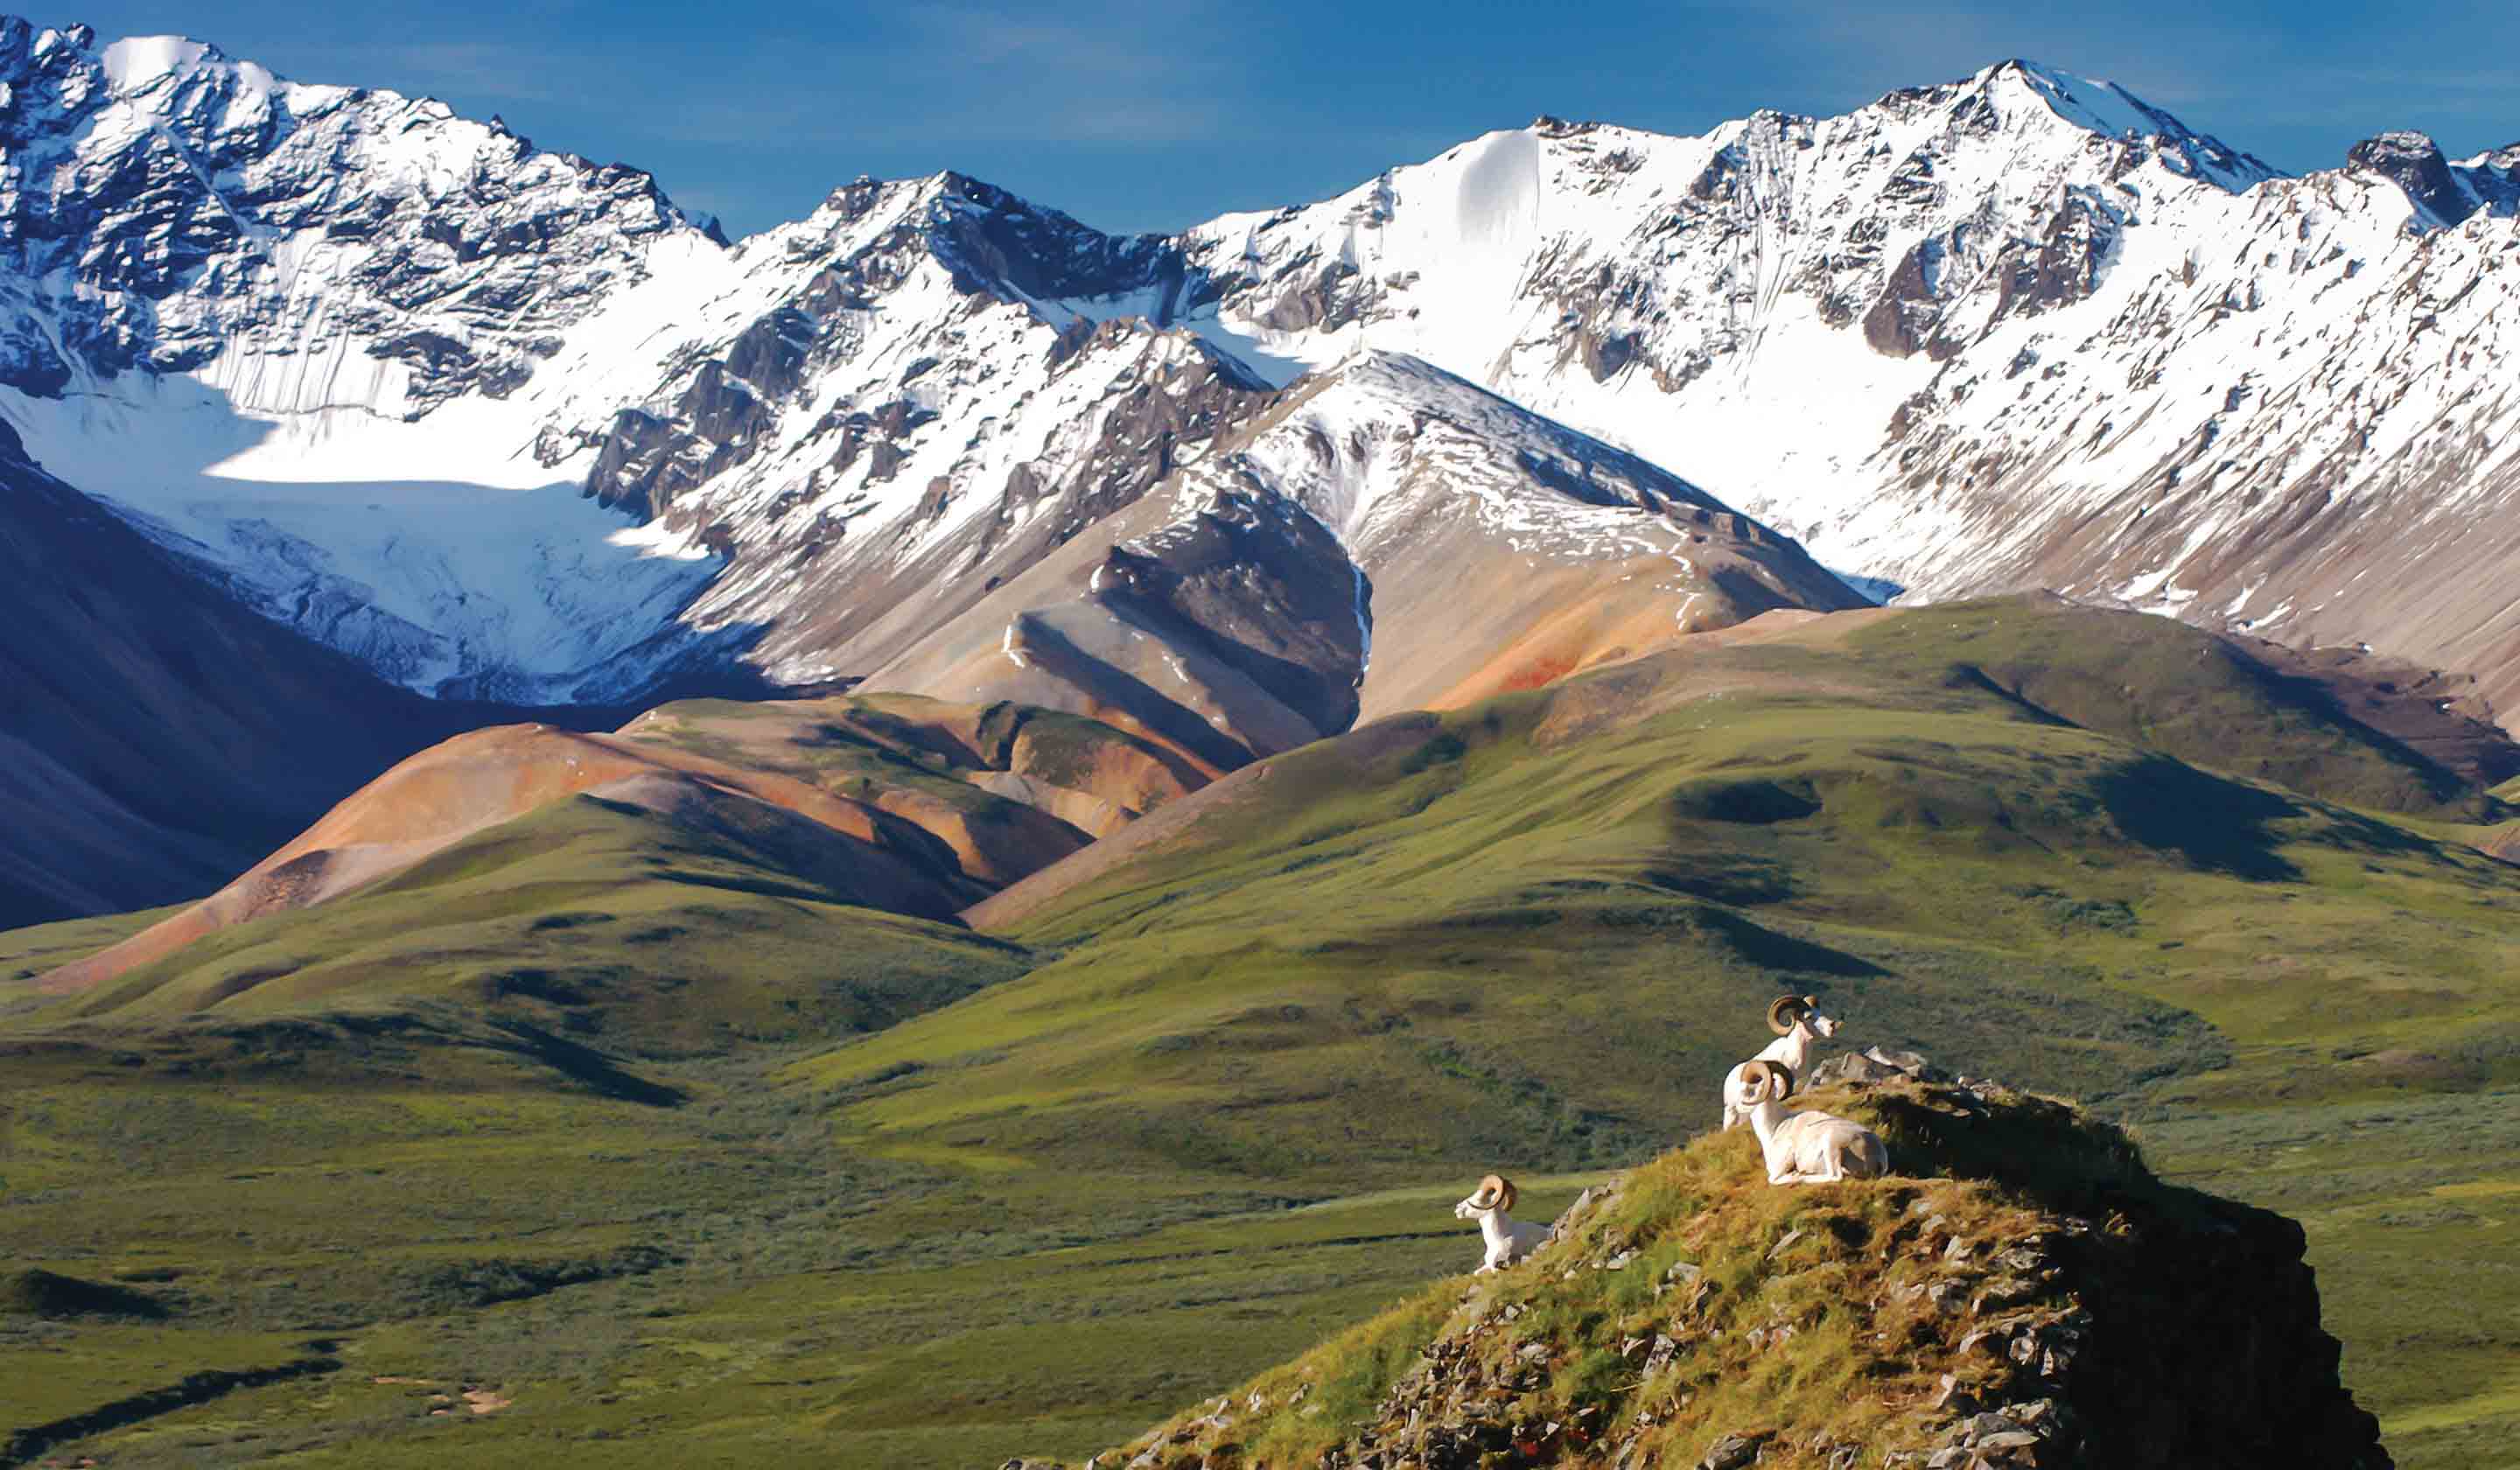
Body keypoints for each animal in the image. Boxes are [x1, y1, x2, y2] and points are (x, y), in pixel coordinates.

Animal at [1733, 1059, 1894, 1185]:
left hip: (1831, 1144)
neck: (1775, 1128)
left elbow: (1772, 1180)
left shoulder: (1781, 1165)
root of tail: (1880, 1158)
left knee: (1836, 1177)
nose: (1734, 1107)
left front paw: (1795, 1175)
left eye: (1745, 1090)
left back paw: (1804, 1176)